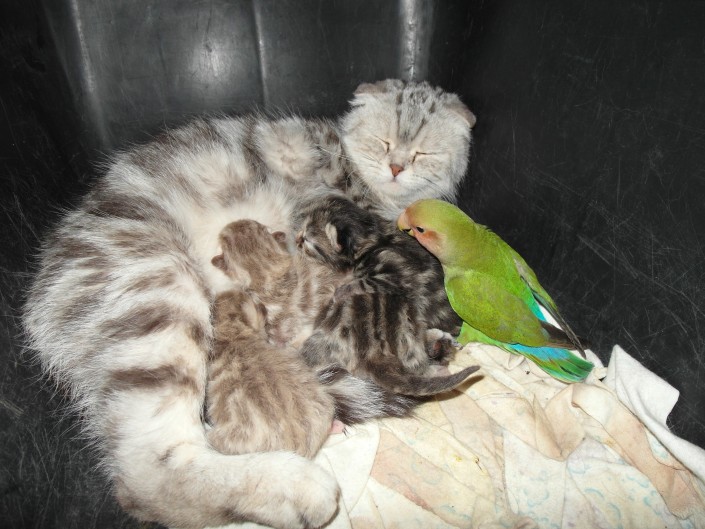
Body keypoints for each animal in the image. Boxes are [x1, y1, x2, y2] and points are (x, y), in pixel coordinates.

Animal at [23, 79, 475, 529]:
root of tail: (38, 297)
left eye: (423, 152)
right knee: (149, 474)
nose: (397, 167)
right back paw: (298, 488)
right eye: (383, 142)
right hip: (157, 294)